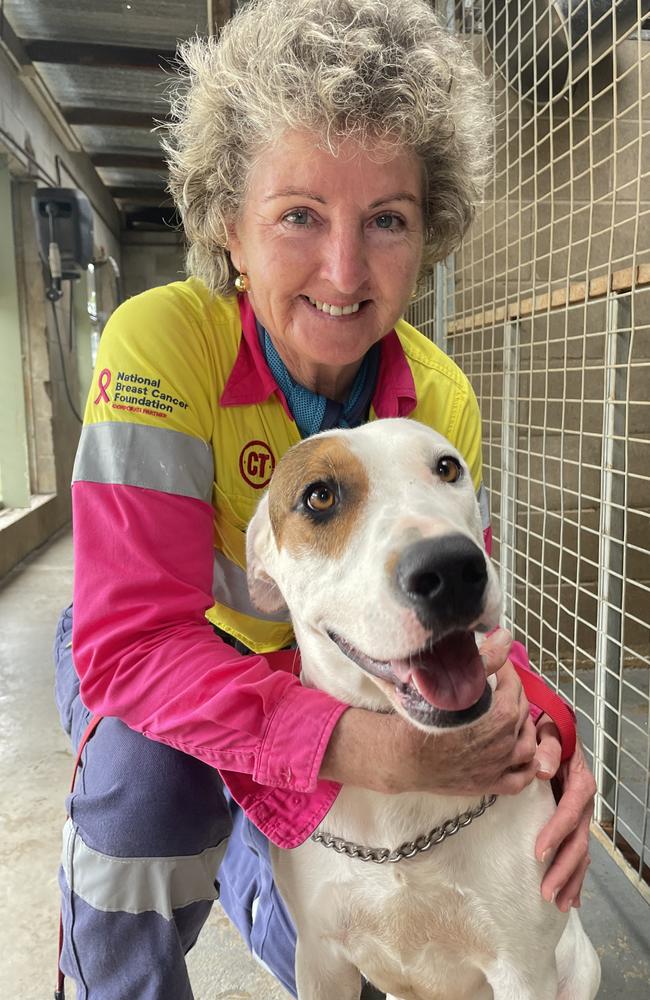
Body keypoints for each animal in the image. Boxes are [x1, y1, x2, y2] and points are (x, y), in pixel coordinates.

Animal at [244, 418, 596, 1000]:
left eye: (447, 467)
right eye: (319, 496)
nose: (452, 569)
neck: (399, 813)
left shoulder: (524, 970)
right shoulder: (319, 961)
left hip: (579, 964)